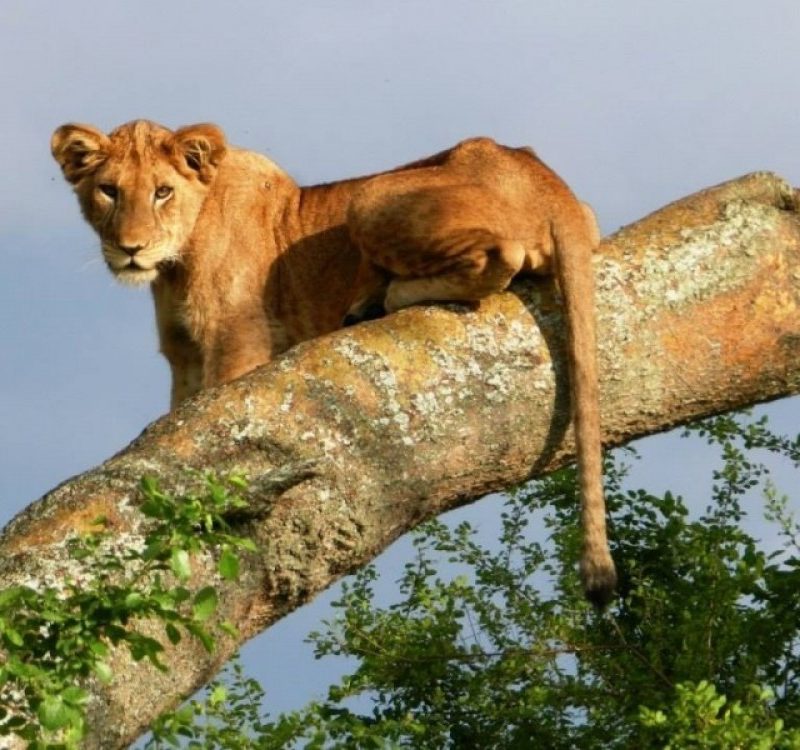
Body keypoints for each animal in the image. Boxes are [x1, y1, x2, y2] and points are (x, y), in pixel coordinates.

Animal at [51, 120, 615, 605]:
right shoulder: (183, 357)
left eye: (162, 192)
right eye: (109, 191)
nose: (130, 249)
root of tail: (548, 184)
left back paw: (379, 299)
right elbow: (176, 431)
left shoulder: (238, 342)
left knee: (502, 254)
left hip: (372, 196)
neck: (174, 264)